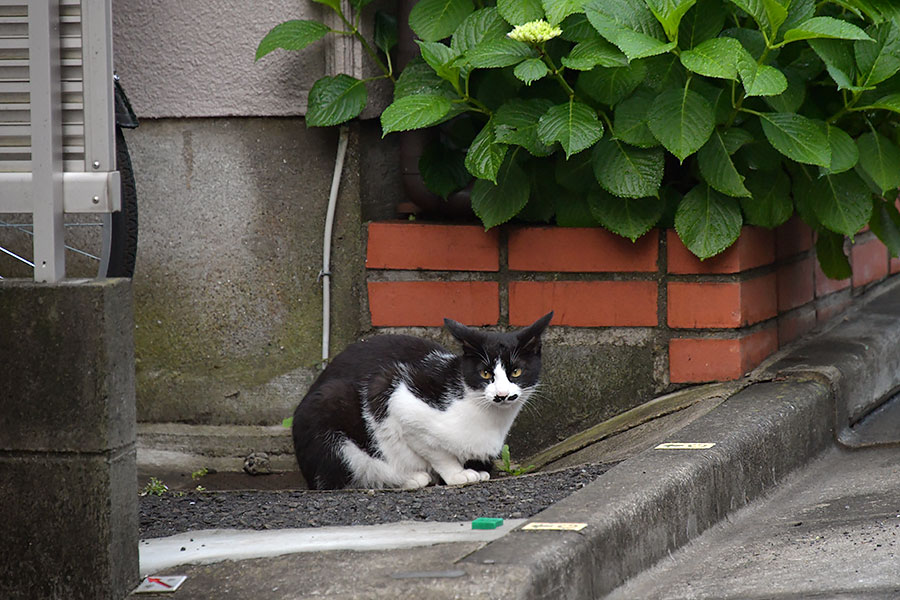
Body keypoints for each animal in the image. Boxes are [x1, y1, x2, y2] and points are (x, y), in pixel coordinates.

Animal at [292, 312, 552, 490]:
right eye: (485, 373)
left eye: (516, 372)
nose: (501, 395)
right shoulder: (396, 395)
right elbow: (436, 451)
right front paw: (457, 474)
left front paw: (474, 469)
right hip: (328, 406)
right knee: (343, 476)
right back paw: (408, 478)